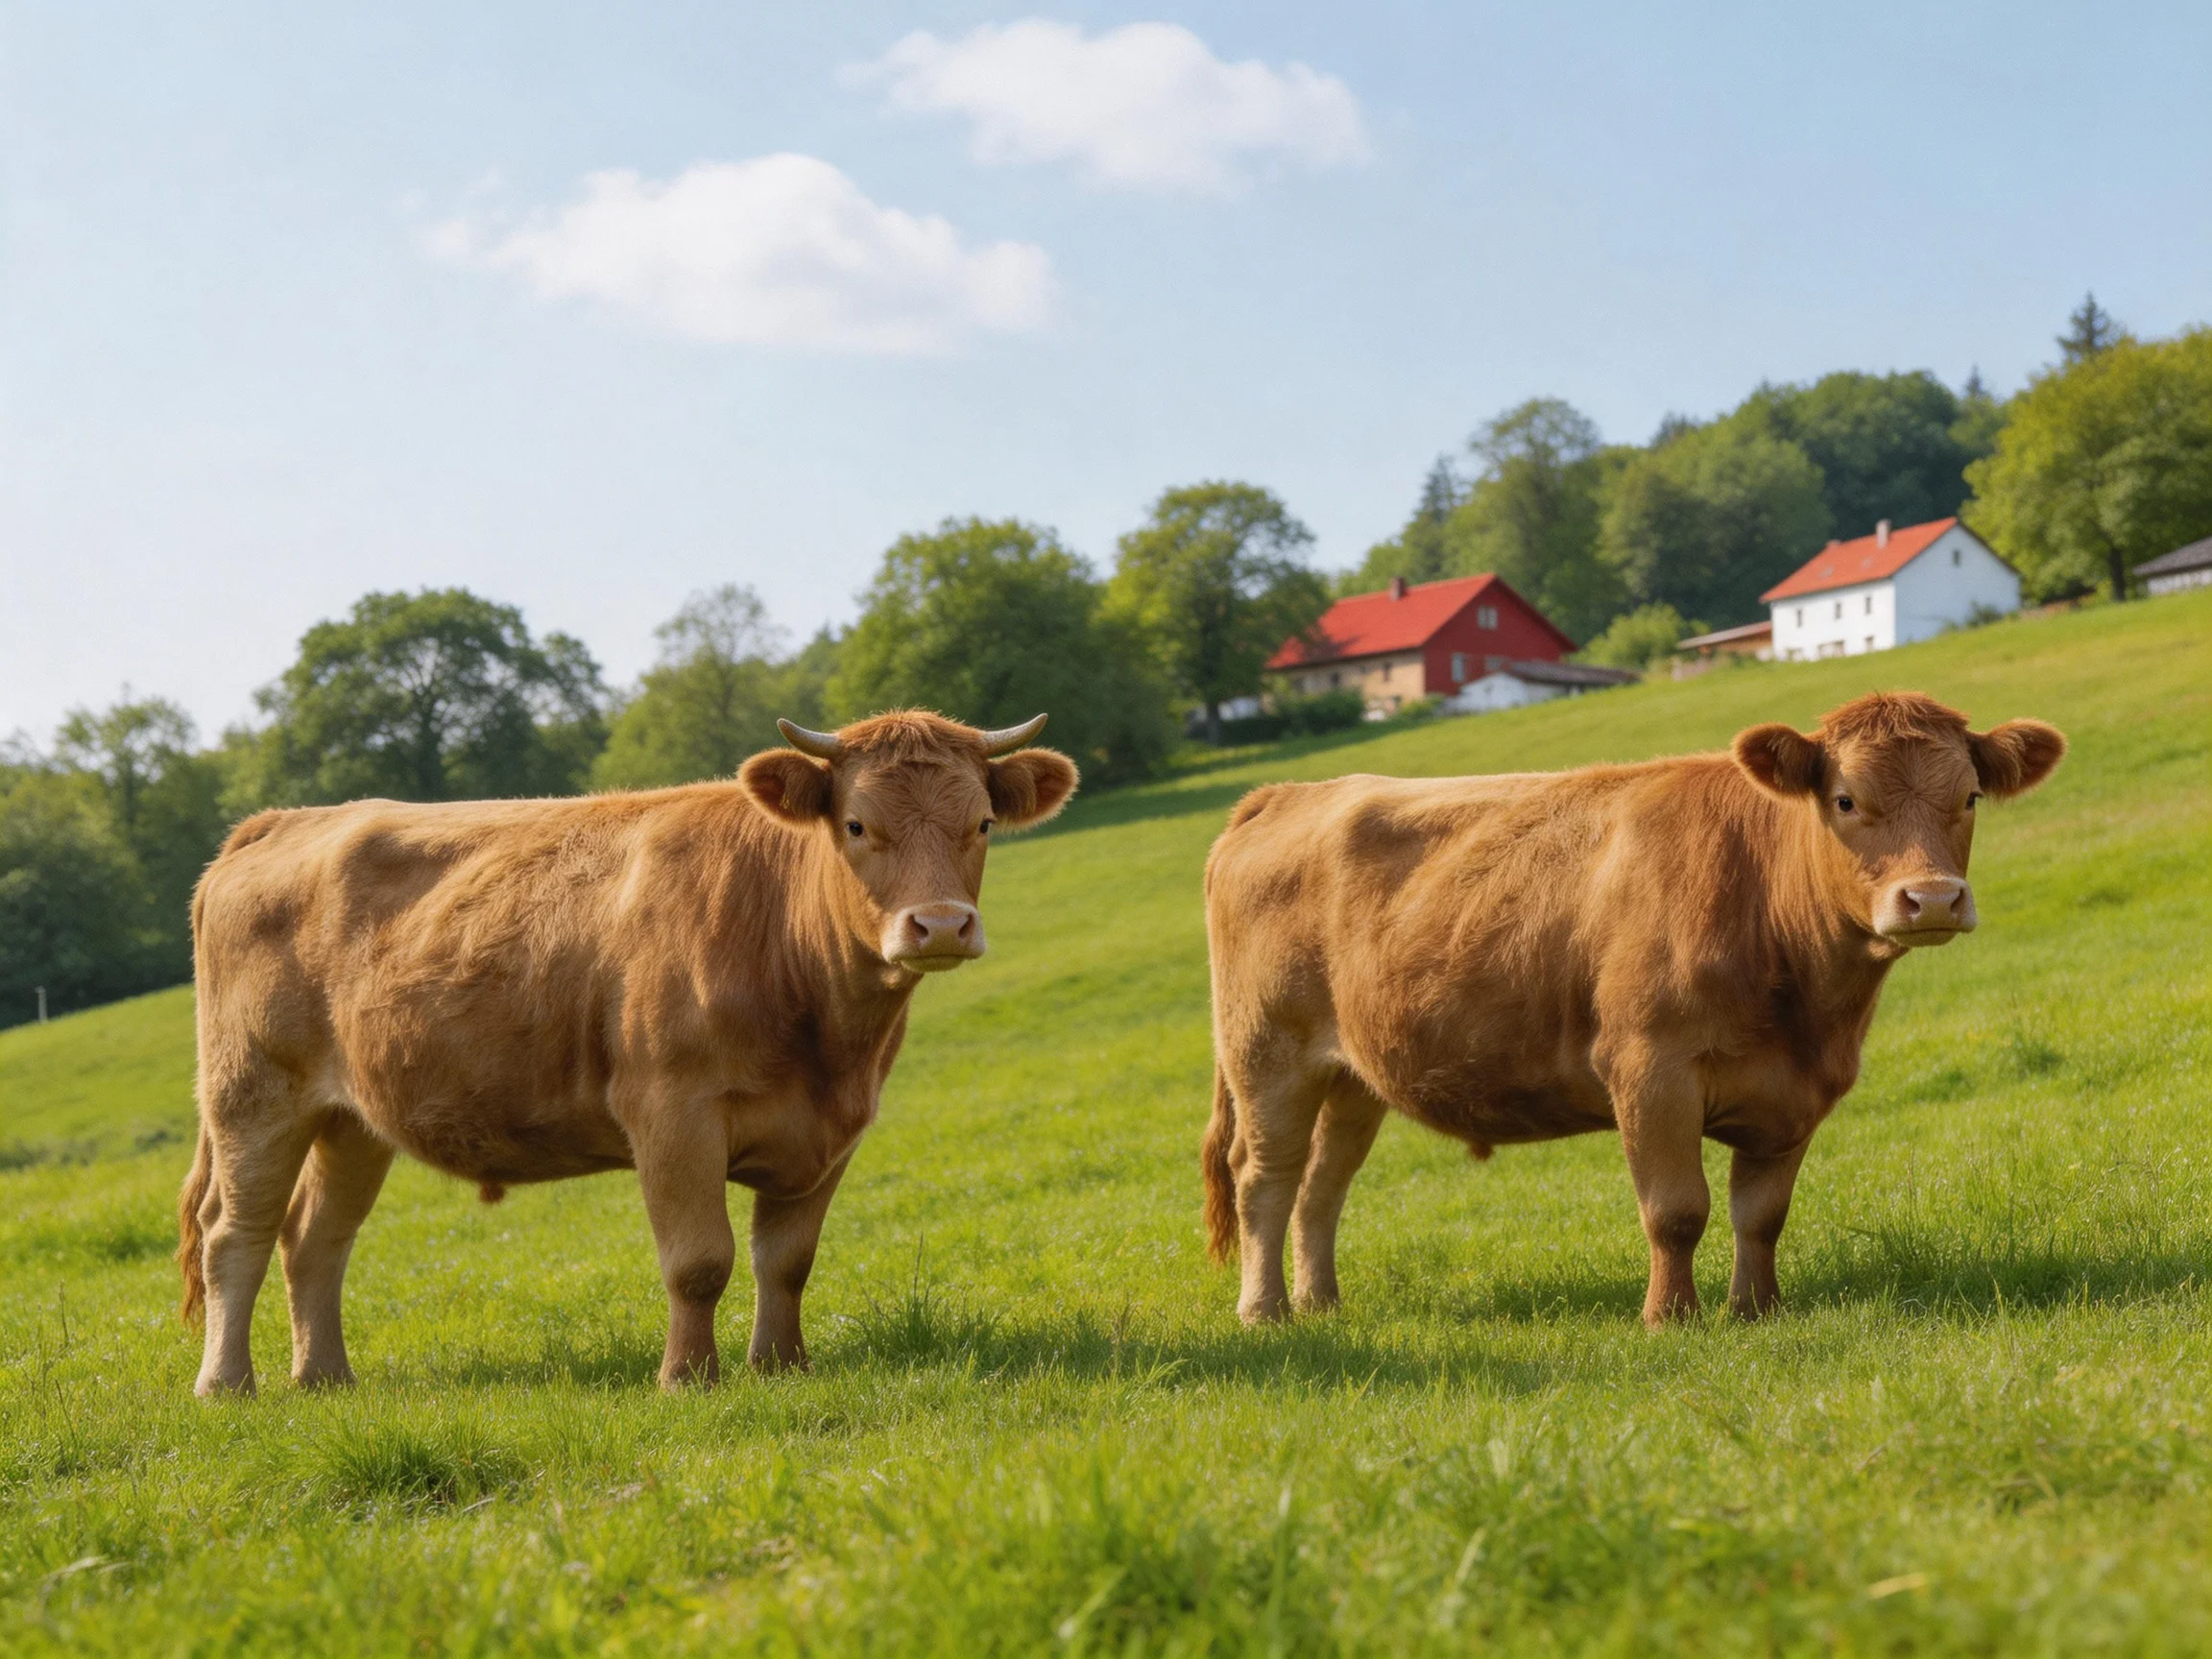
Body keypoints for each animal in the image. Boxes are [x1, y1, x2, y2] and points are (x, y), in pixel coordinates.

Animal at [178, 710, 1077, 1395]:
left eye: (982, 824)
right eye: (858, 825)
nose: (940, 925)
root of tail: (290, 819)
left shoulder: (831, 1132)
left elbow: (787, 1260)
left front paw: (782, 1368)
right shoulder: (671, 1113)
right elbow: (700, 1261)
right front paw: (687, 1379)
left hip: (353, 1118)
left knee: (314, 1237)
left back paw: (325, 1378)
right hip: (253, 1096)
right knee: (235, 1234)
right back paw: (227, 1385)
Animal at [1200, 691, 2064, 1328]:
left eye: (1970, 796)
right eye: (1846, 800)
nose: (1932, 898)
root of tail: (1289, 793)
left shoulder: (1797, 1093)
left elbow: (1761, 1215)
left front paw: (1756, 1311)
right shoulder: (1651, 1070)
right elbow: (1676, 1211)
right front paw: (1669, 1318)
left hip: (1352, 1075)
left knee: (1323, 1182)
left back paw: (1321, 1302)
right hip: (1267, 1054)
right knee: (1264, 1176)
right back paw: (1265, 1311)